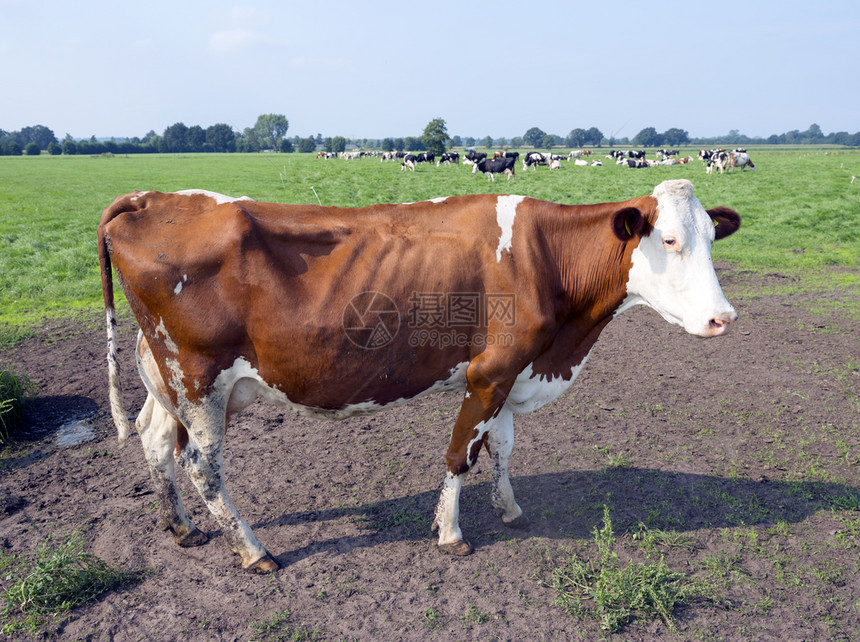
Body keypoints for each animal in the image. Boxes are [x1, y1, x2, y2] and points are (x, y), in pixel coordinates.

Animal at [99, 179, 740, 568]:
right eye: (670, 239)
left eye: (713, 237)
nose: (722, 318)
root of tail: (147, 198)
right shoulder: (490, 373)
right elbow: (461, 455)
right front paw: (451, 533)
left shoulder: (513, 374)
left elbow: (503, 447)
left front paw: (508, 508)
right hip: (198, 379)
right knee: (201, 465)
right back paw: (254, 551)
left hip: (166, 376)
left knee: (155, 440)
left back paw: (180, 527)